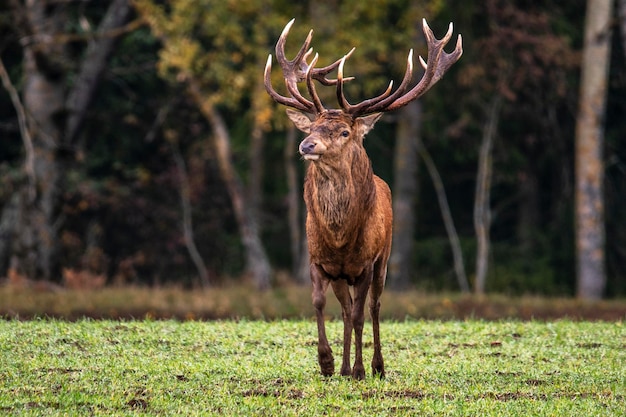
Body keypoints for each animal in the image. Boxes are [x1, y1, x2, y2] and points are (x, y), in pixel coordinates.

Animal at [264, 17, 458, 378]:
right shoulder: (318, 260)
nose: (306, 144)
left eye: (343, 132)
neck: (340, 238)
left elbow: (360, 315)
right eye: (311, 128)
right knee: (345, 308)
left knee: (374, 306)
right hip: (344, 276)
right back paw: (343, 367)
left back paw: (376, 366)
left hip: (385, 258)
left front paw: (359, 369)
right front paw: (327, 363)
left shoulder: (366, 263)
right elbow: (320, 303)